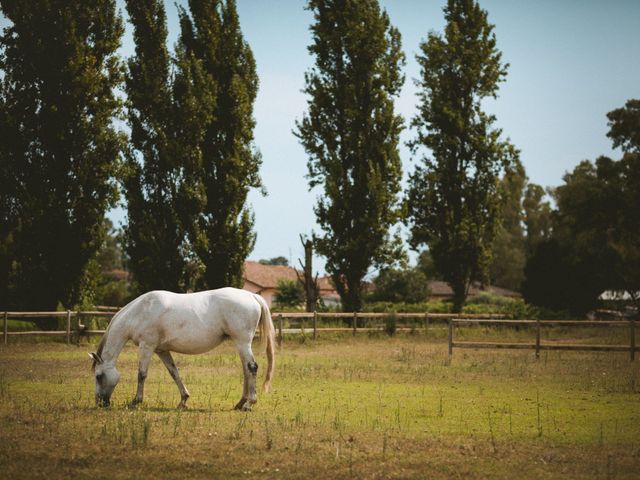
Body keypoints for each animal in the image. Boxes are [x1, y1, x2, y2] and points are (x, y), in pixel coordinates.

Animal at [88, 286, 276, 410]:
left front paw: (136, 401)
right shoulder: (161, 350)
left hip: (243, 342)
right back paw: (240, 402)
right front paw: (183, 401)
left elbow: (141, 374)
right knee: (246, 370)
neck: (141, 311)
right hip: (240, 343)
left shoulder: (146, 346)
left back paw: (249, 403)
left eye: (98, 376)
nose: (100, 403)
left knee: (252, 368)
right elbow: (174, 373)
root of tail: (252, 296)